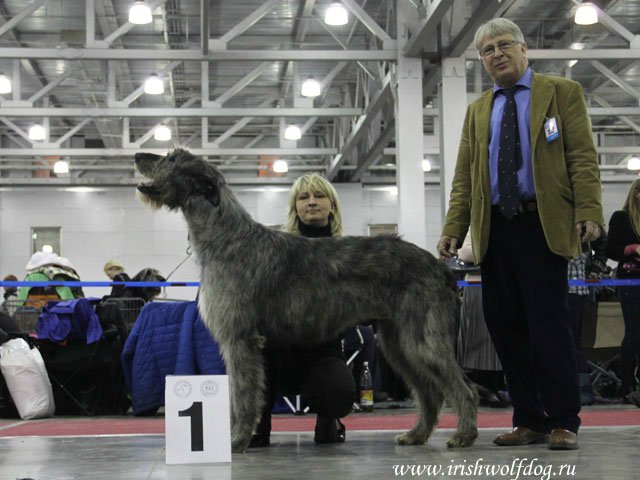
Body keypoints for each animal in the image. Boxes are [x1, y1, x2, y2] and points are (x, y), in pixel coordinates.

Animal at [134, 148, 476, 452]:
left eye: (173, 158)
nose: (138, 155)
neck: (226, 237)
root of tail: (440, 266)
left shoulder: (239, 338)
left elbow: (242, 396)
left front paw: (236, 441)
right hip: (397, 342)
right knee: (430, 392)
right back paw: (417, 435)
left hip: (422, 339)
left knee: (462, 387)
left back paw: (464, 435)